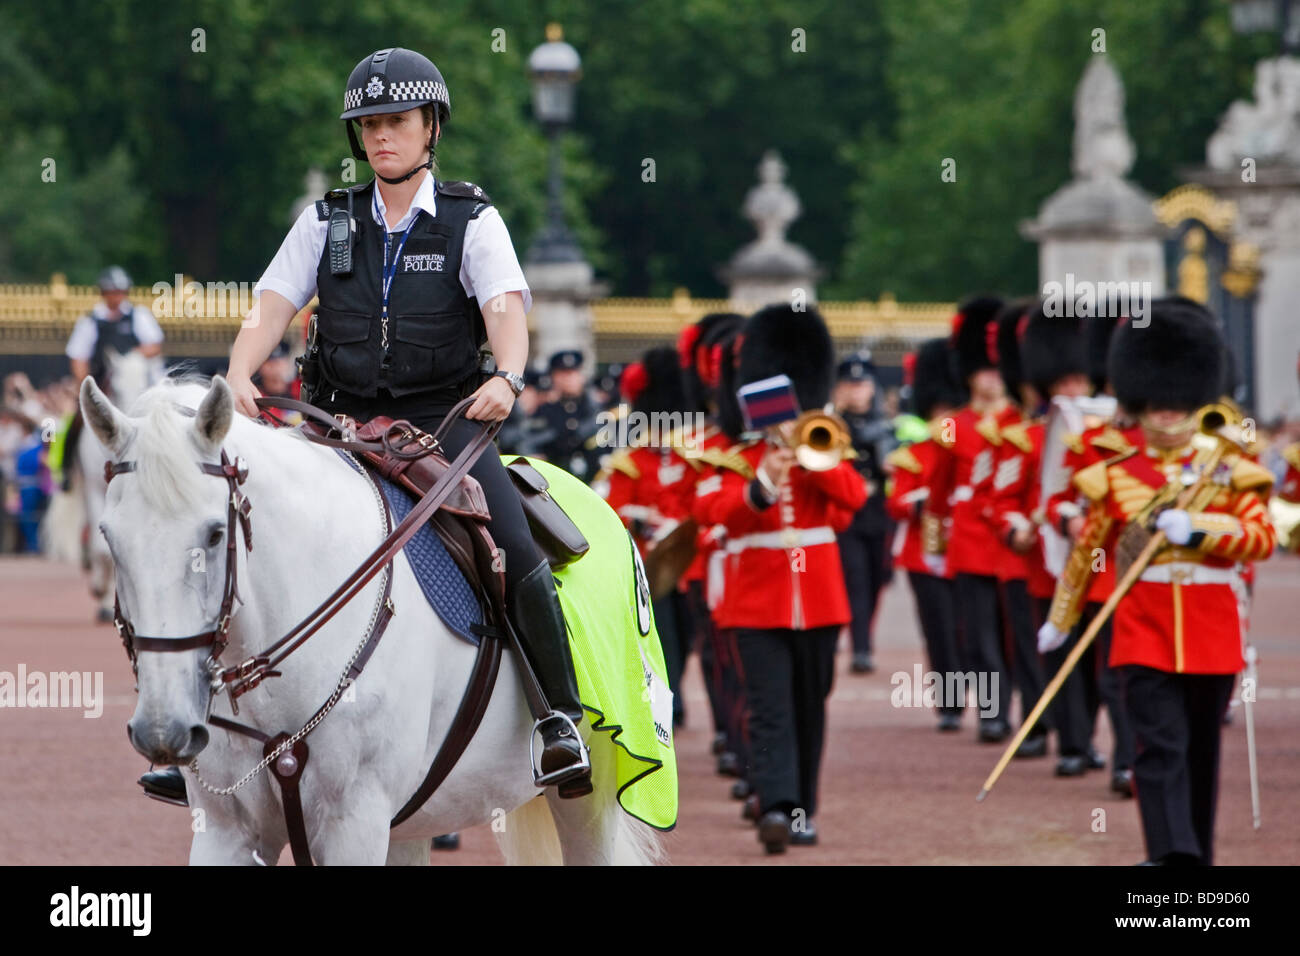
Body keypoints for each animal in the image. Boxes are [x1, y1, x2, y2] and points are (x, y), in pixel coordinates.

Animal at [78, 374, 660, 868]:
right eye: (109, 535)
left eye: (216, 534)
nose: (163, 728)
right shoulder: (227, 830)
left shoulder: (352, 825)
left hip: (588, 801)